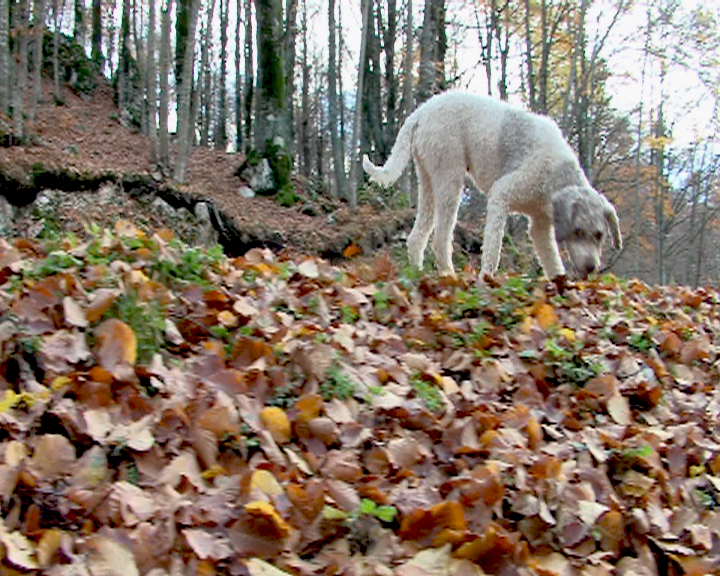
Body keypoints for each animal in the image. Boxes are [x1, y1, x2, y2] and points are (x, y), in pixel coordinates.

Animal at [362, 91, 620, 280]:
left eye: (599, 235)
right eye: (578, 231)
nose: (591, 267)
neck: (556, 174)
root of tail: (421, 112)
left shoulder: (539, 225)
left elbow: (552, 262)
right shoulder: (502, 193)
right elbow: (493, 248)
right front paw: (487, 278)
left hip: (427, 179)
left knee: (417, 237)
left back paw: (418, 273)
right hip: (449, 179)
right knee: (440, 240)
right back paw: (450, 276)